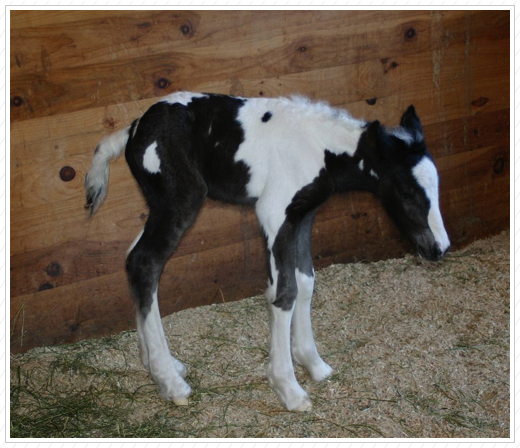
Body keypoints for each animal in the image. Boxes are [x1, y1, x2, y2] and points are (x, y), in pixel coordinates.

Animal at [84, 92, 446, 412]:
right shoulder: (274, 213)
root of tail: (134, 128)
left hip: (160, 205)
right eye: (407, 192)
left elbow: (306, 282)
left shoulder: (303, 215)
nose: (439, 248)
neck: (319, 149)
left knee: (134, 259)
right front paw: (288, 387)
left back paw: (156, 363)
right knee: (146, 263)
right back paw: (171, 383)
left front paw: (313, 363)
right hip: (180, 200)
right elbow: (284, 293)